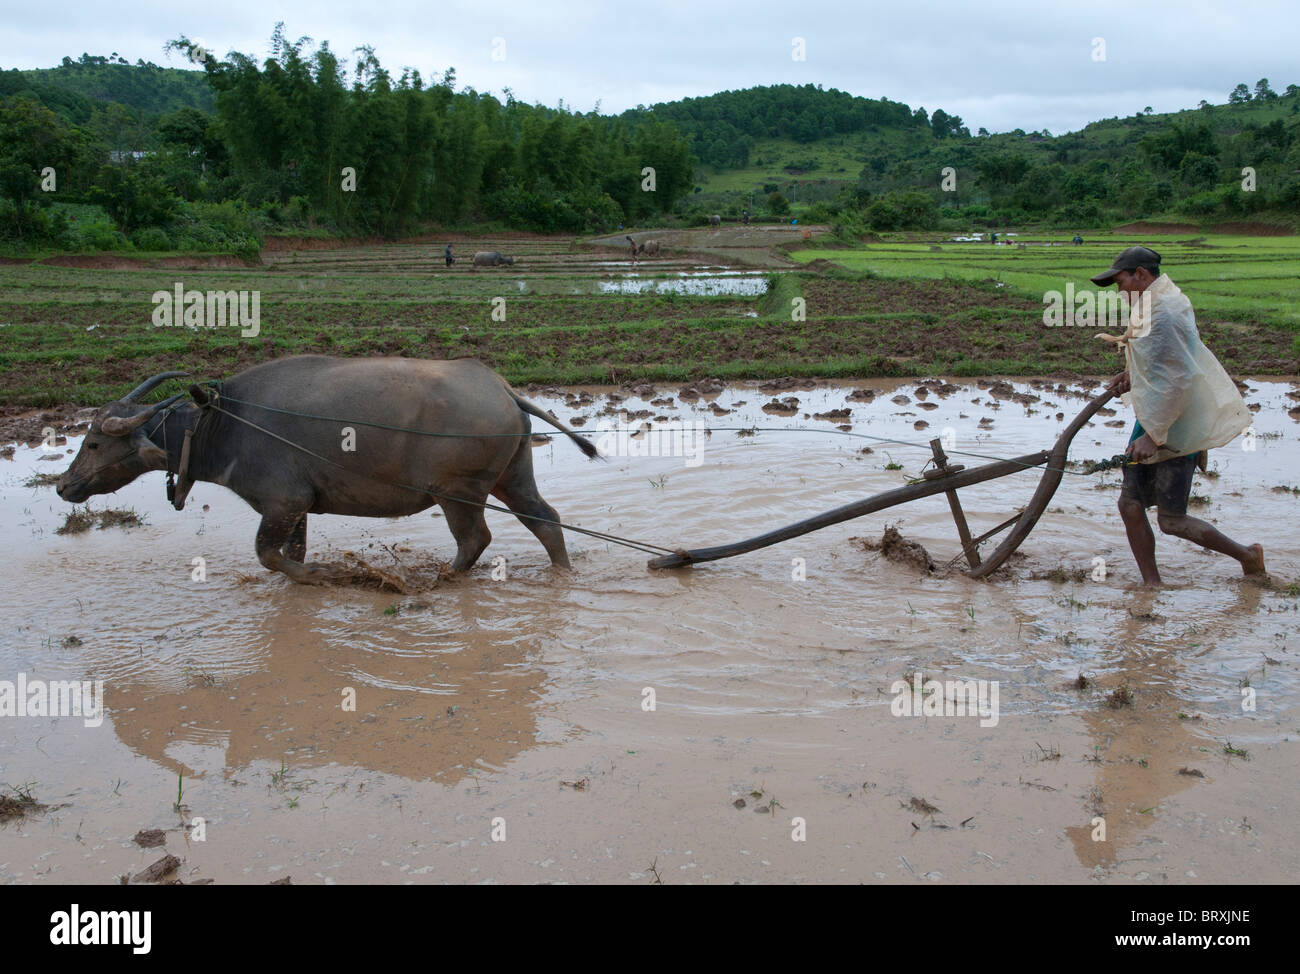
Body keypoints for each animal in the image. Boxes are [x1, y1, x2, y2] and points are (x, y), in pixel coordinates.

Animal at [56, 357, 598, 583]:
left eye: (95, 441)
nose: (64, 485)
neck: (221, 423)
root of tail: (501, 387)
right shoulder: (297, 508)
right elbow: (288, 552)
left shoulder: (282, 501)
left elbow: (267, 554)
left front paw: (326, 574)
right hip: (513, 477)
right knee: (545, 520)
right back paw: (562, 572)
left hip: (457, 492)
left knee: (475, 540)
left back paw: (441, 578)